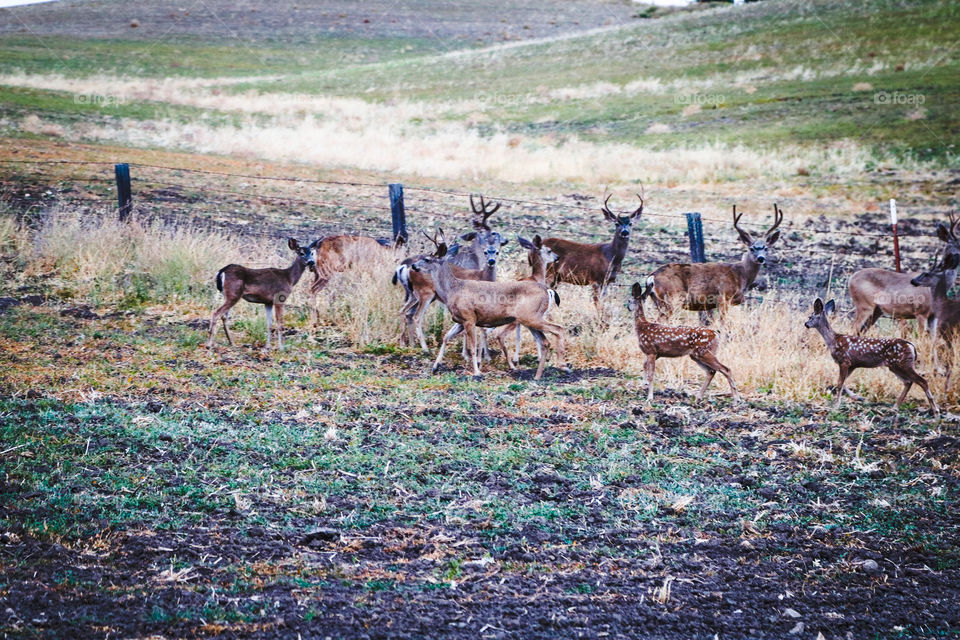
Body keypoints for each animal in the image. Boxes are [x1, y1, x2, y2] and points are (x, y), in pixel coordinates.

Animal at [394, 194, 508, 357]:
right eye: (494, 233)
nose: (506, 240)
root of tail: (404, 265)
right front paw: (469, 353)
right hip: (425, 294)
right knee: (415, 316)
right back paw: (423, 348)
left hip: (412, 294)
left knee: (405, 312)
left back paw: (409, 344)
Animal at [410, 236, 569, 381]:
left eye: (427, 259)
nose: (413, 266)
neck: (452, 290)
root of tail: (548, 290)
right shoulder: (460, 320)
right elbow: (445, 337)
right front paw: (435, 366)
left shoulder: (469, 318)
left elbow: (472, 347)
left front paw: (477, 372)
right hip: (529, 319)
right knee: (545, 342)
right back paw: (537, 376)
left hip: (531, 317)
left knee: (558, 329)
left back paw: (563, 366)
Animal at [645, 204, 782, 321]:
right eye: (752, 248)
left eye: (766, 248)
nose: (761, 258)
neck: (741, 274)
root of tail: (651, 277)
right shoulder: (723, 297)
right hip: (673, 298)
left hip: (660, 302)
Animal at [804, 298, 939, 418]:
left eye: (810, 317)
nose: (806, 324)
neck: (833, 341)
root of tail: (912, 346)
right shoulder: (852, 364)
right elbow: (843, 382)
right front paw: (857, 397)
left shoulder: (844, 361)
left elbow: (840, 383)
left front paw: (836, 406)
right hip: (895, 366)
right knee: (908, 382)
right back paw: (894, 408)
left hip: (903, 364)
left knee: (922, 381)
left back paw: (935, 411)